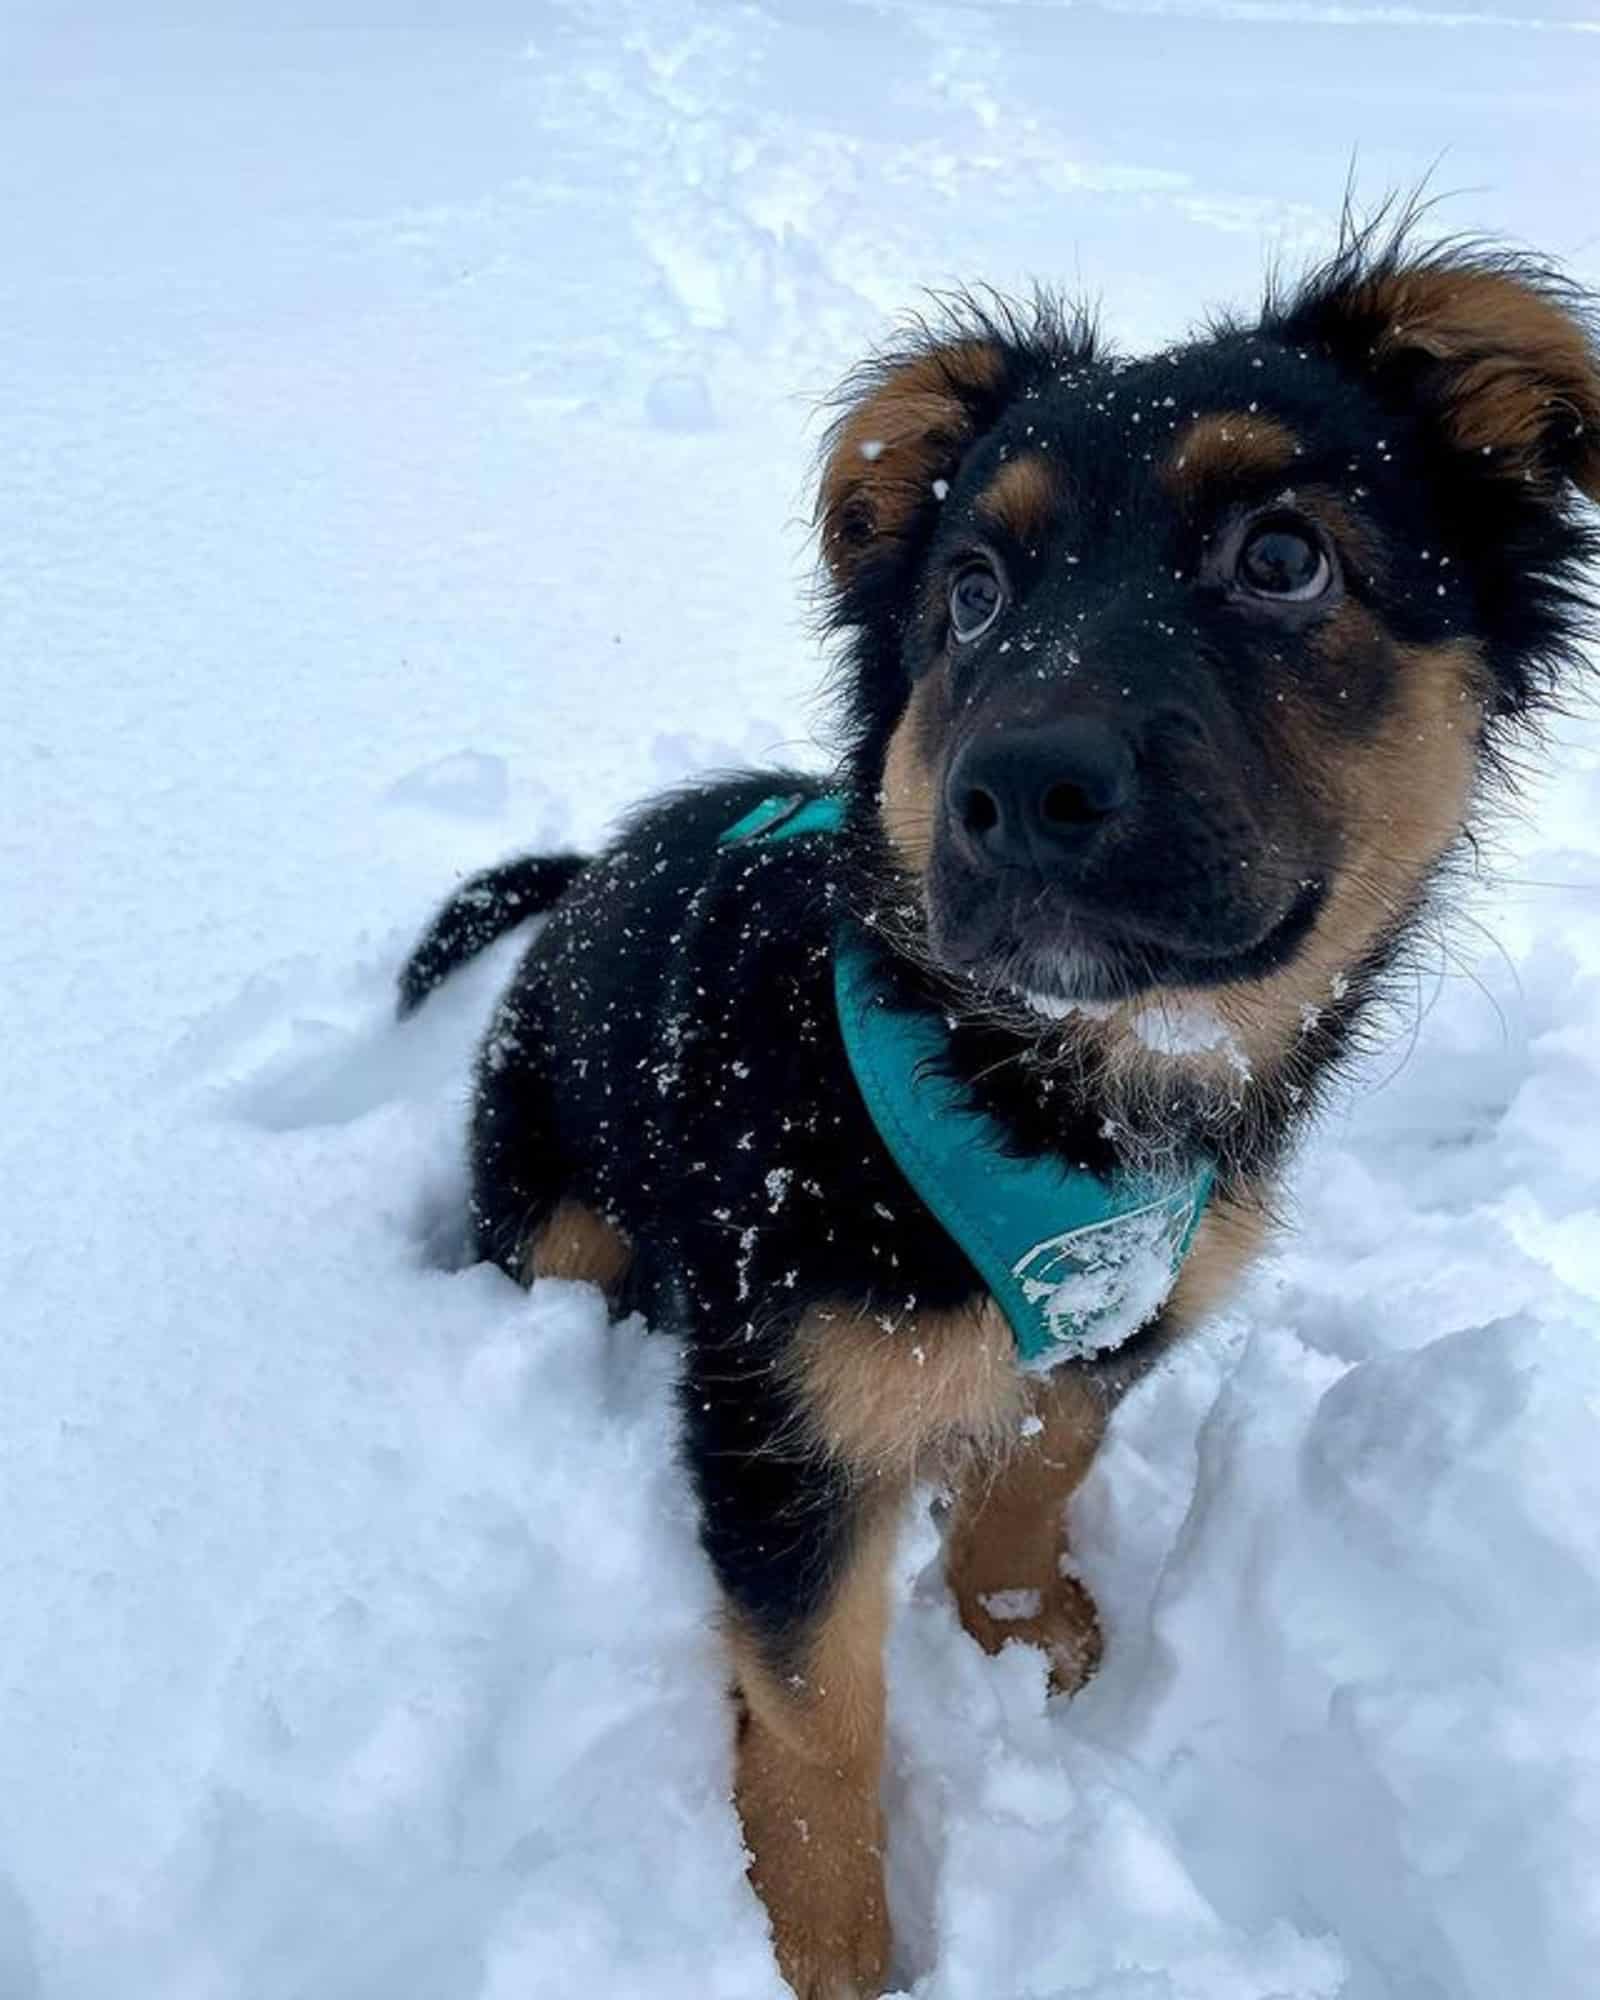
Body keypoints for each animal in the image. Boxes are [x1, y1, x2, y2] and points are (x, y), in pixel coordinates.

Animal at [400, 227, 1600, 2000]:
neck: (1046, 1101)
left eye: (1284, 557)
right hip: (547, 1203)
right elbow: (819, 1719)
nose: (1018, 794)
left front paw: (1026, 1634)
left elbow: (1043, 1461)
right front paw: (828, 1952)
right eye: (970, 592)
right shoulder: (788, 1415)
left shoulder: (1126, 1304)